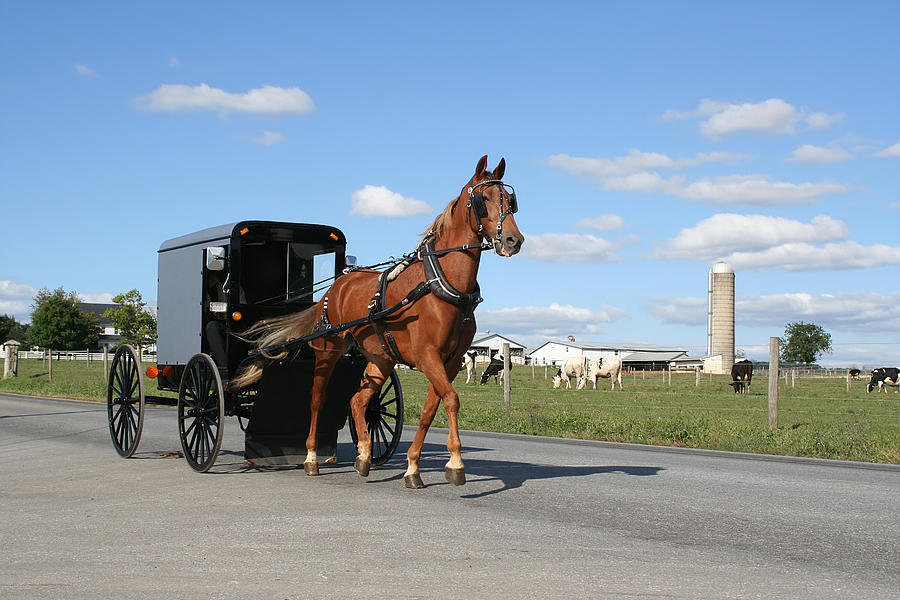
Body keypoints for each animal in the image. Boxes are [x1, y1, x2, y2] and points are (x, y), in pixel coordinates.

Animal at [232, 155, 524, 488]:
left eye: (510, 200)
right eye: (483, 199)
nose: (514, 240)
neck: (442, 285)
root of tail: (336, 285)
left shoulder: (449, 361)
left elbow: (430, 409)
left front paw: (412, 467)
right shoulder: (427, 356)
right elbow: (451, 399)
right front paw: (455, 463)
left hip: (380, 358)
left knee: (358, 401)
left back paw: (363, 455)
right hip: (328, 351)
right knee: (317, 400)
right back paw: (311, 458)